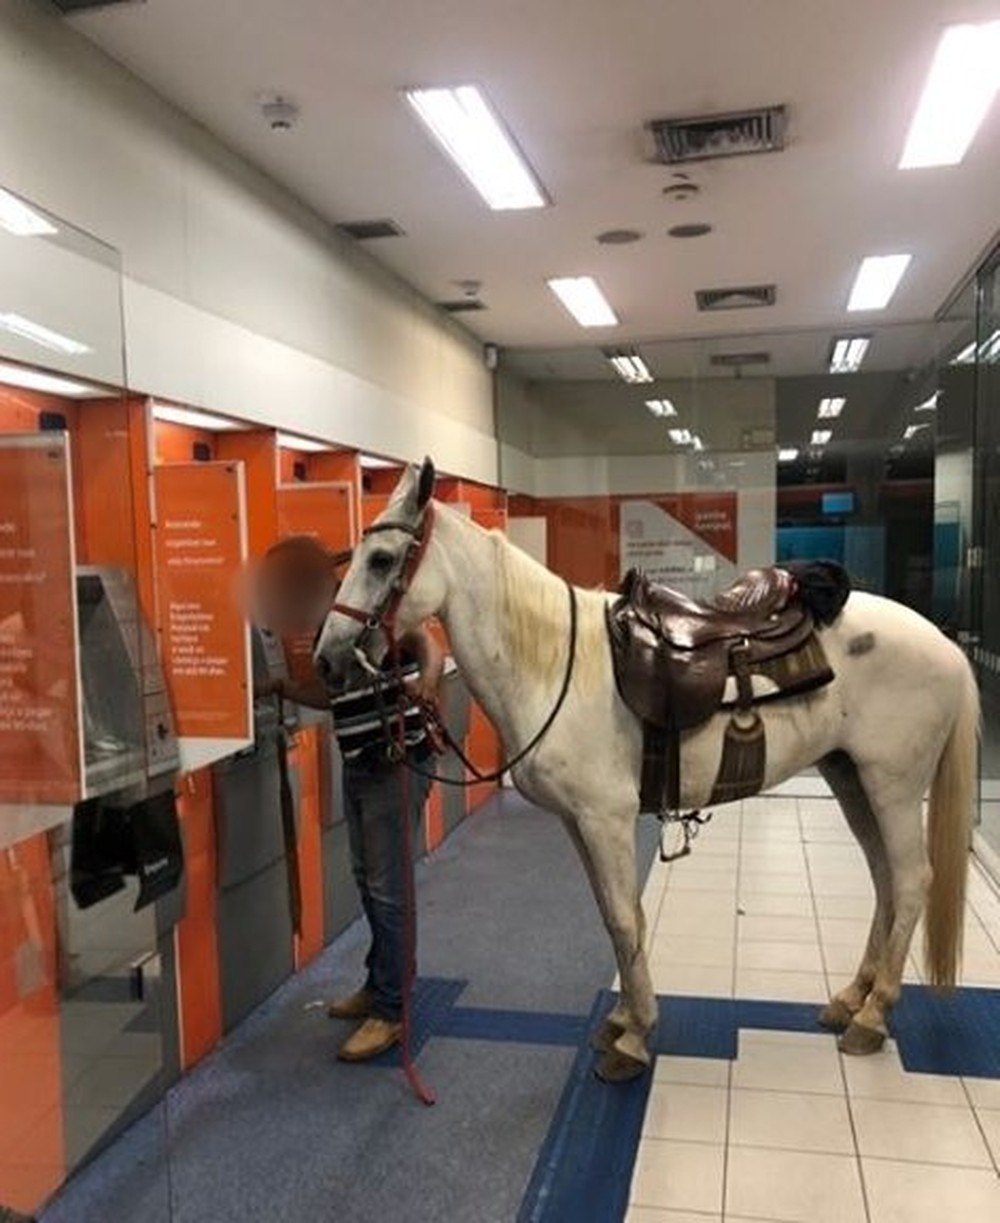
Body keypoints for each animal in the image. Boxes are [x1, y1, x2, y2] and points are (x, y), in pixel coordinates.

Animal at [317, 459, 973, 1081]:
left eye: (381, 559)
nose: (326, 659)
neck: (556, 664)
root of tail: (945, 645)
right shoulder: (578, 823)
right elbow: (618, 918)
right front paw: (624, 1019)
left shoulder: (605, 818)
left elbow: (623, 920)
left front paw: (634, 1039)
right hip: (850, 779)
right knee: (886, 881)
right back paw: (852, 996)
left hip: (893, 787)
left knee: (911, 880)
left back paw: (873, 1015)